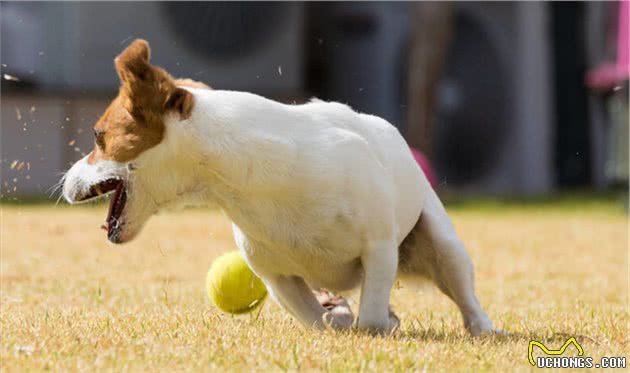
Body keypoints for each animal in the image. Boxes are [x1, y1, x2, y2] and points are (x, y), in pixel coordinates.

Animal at [63, 40, 498, 334]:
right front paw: (337, 319)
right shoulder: (275, 276)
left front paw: (374, 324)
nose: (65, 180)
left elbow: (371, 314)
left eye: (99, 136)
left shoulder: (378, 249)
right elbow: (317, 319)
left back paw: (484, 328)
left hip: (443, 245)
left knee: (463, 293)